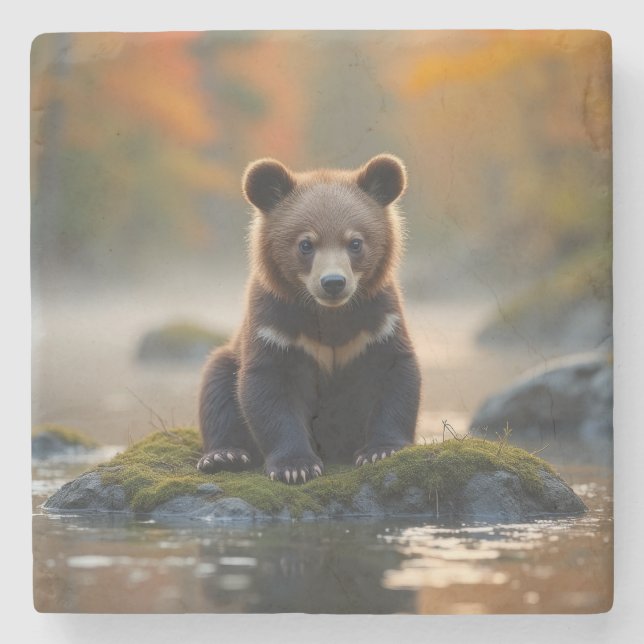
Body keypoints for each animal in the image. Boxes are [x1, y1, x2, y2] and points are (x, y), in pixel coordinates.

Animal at [197, 154, 421, 484]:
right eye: (306, 244)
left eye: (355, 242)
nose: (333, 283)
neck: (329, 314)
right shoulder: (275, 325)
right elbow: (269, 388)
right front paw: (295, 466)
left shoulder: (378, 320)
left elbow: (394, 374)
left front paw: (381, 450)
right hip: (227, 357)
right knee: (217, 387)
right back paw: (224, 455)